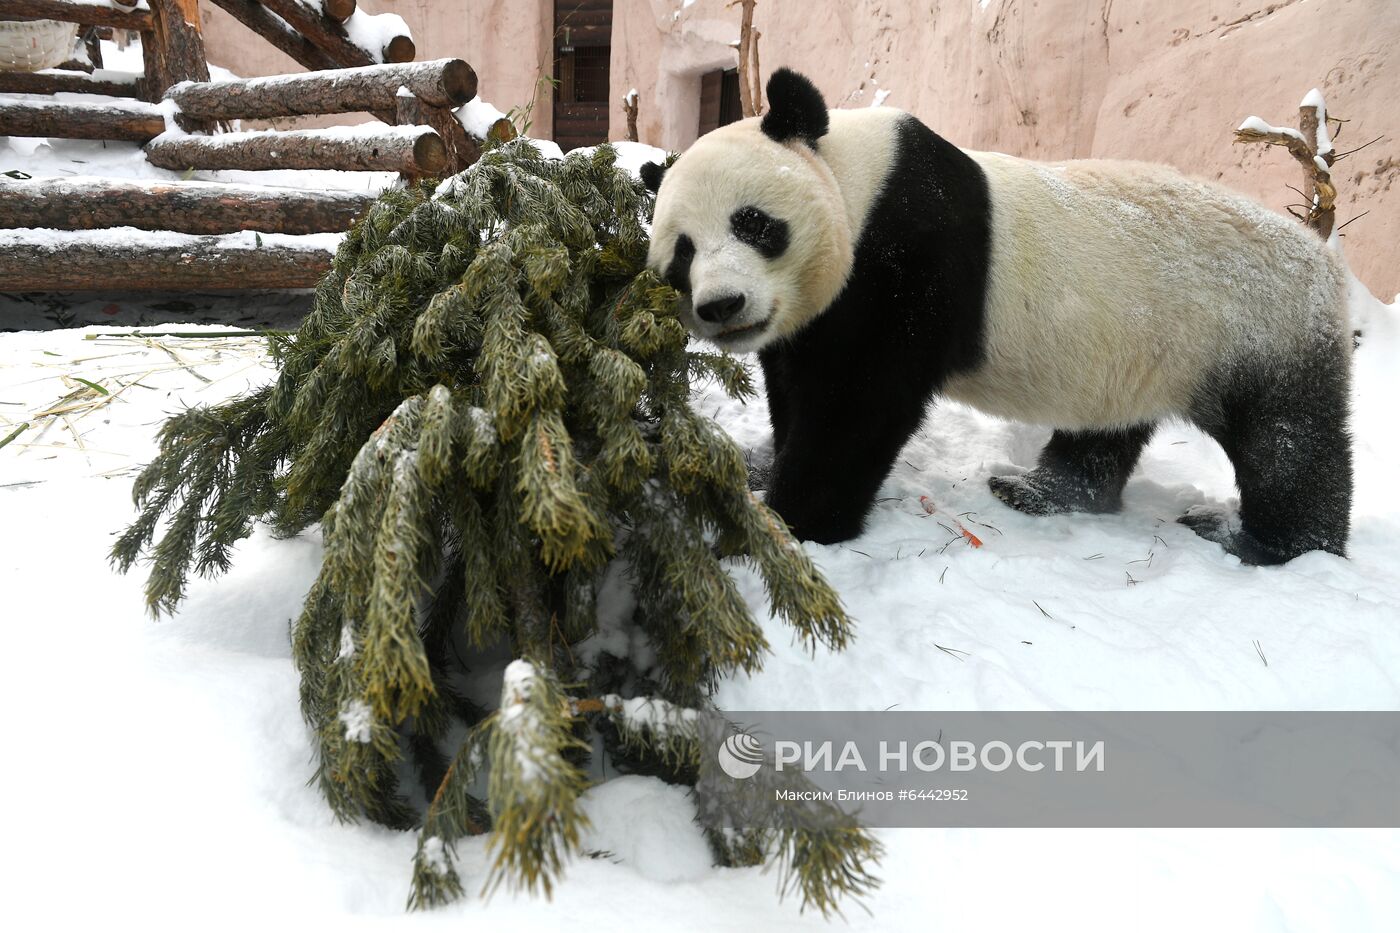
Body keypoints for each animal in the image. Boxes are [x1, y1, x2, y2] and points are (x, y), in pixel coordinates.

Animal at [641, 68, 1349, 563]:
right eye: (683, 253)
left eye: (754, 224)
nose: (722, 306)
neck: (855, 179)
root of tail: (1324, 262)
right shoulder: (816, 315)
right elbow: (795, 385)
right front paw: (761, 466)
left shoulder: (907, 254)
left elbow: (858, 404)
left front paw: (793, 523)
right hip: (1140, 348)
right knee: (1105, 431)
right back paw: (1038, 491)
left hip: (1256, 327)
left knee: (1287, 443)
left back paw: (1261, 543)